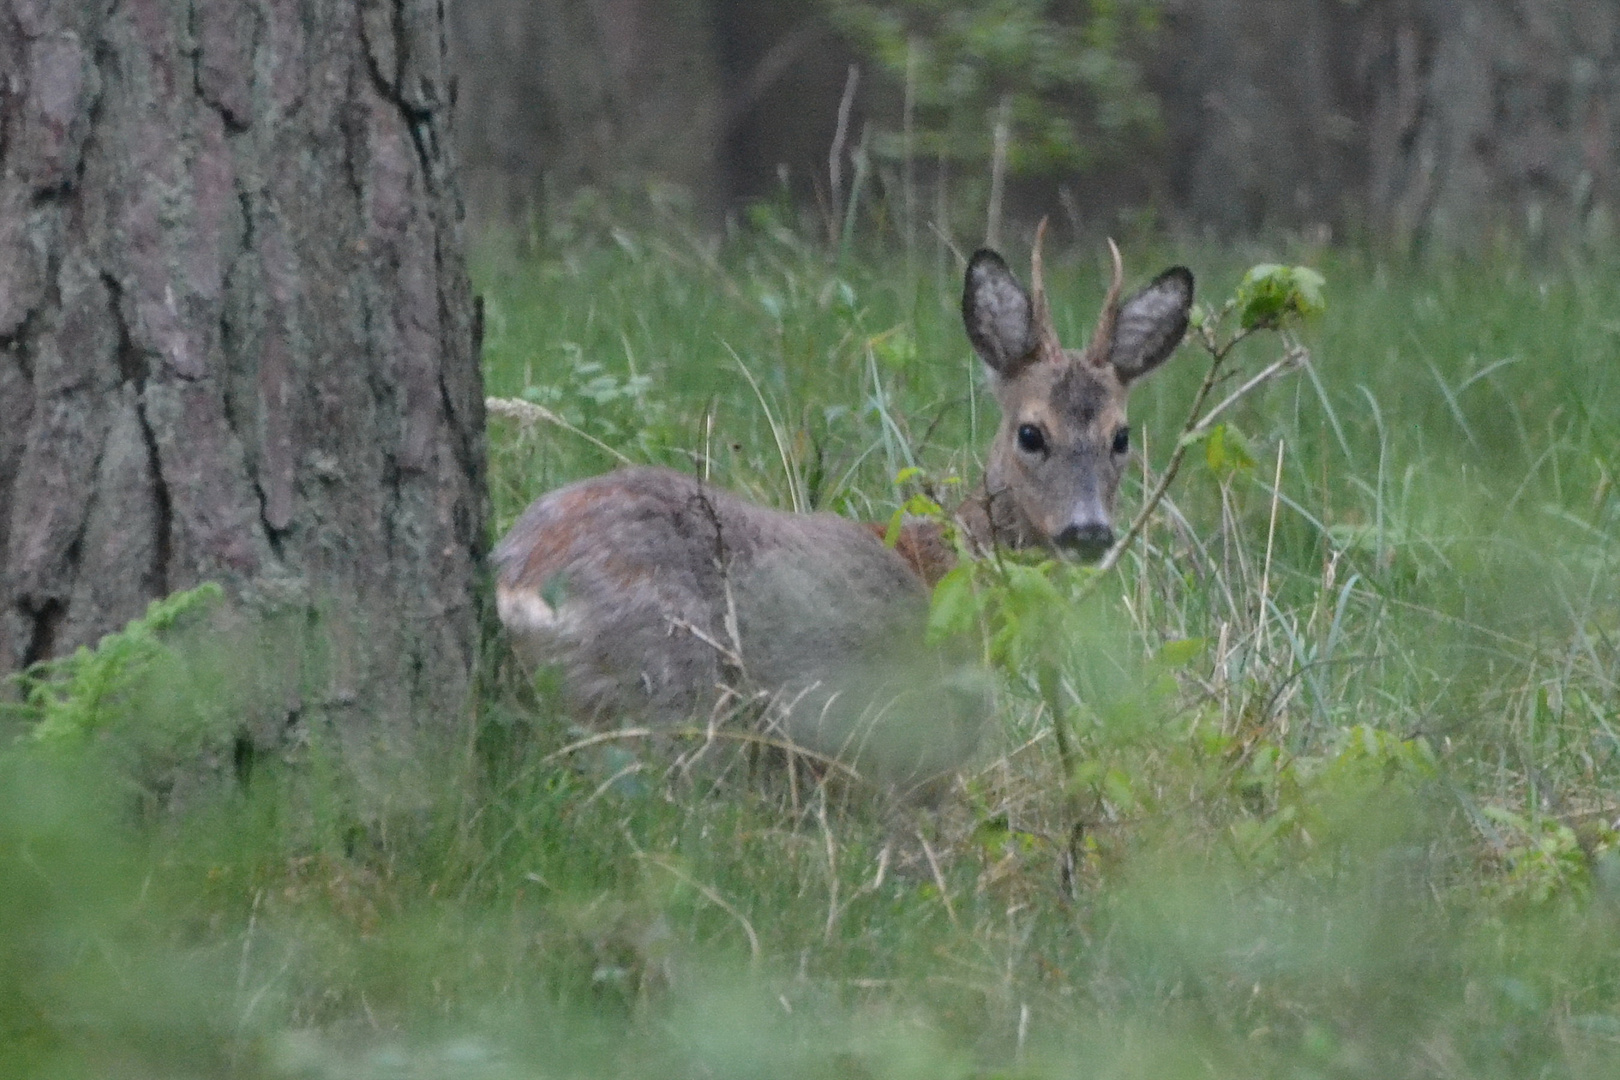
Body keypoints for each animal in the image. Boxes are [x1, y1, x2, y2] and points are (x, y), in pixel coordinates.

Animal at [489, 233, 1192, 780]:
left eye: (1121, 437)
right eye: (1031, 433)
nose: (1087, 531)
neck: (949, 566)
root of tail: (521, 579)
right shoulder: (915, 738)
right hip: (666, 686)